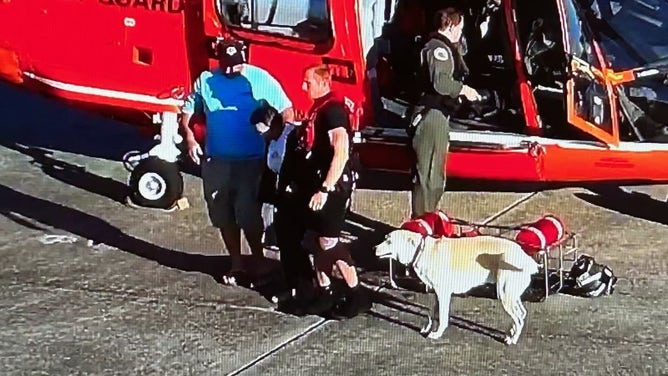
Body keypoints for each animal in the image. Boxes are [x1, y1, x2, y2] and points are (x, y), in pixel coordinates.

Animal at [374, 228, 540, 346]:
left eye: (389, 241)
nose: (374, 248)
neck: (421, 251)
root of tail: (526, 257)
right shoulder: (436, 294)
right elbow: (431, 313)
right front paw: (427, 328)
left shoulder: (443, 294)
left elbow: (442, 318)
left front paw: (437, 334)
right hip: (510, 294)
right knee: (522, 313)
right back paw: (511, 333)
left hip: (504, 294)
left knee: (518, 317)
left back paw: (513, 340)